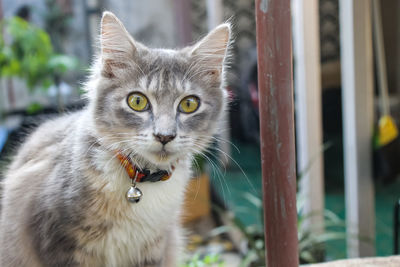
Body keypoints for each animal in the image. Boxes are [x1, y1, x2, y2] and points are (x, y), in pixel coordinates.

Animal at [0, 11, 230, 267]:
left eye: (189, 104)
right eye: (137, 101)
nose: (164, 135)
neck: (140, 181)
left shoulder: (154, 248)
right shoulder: (59, 242)